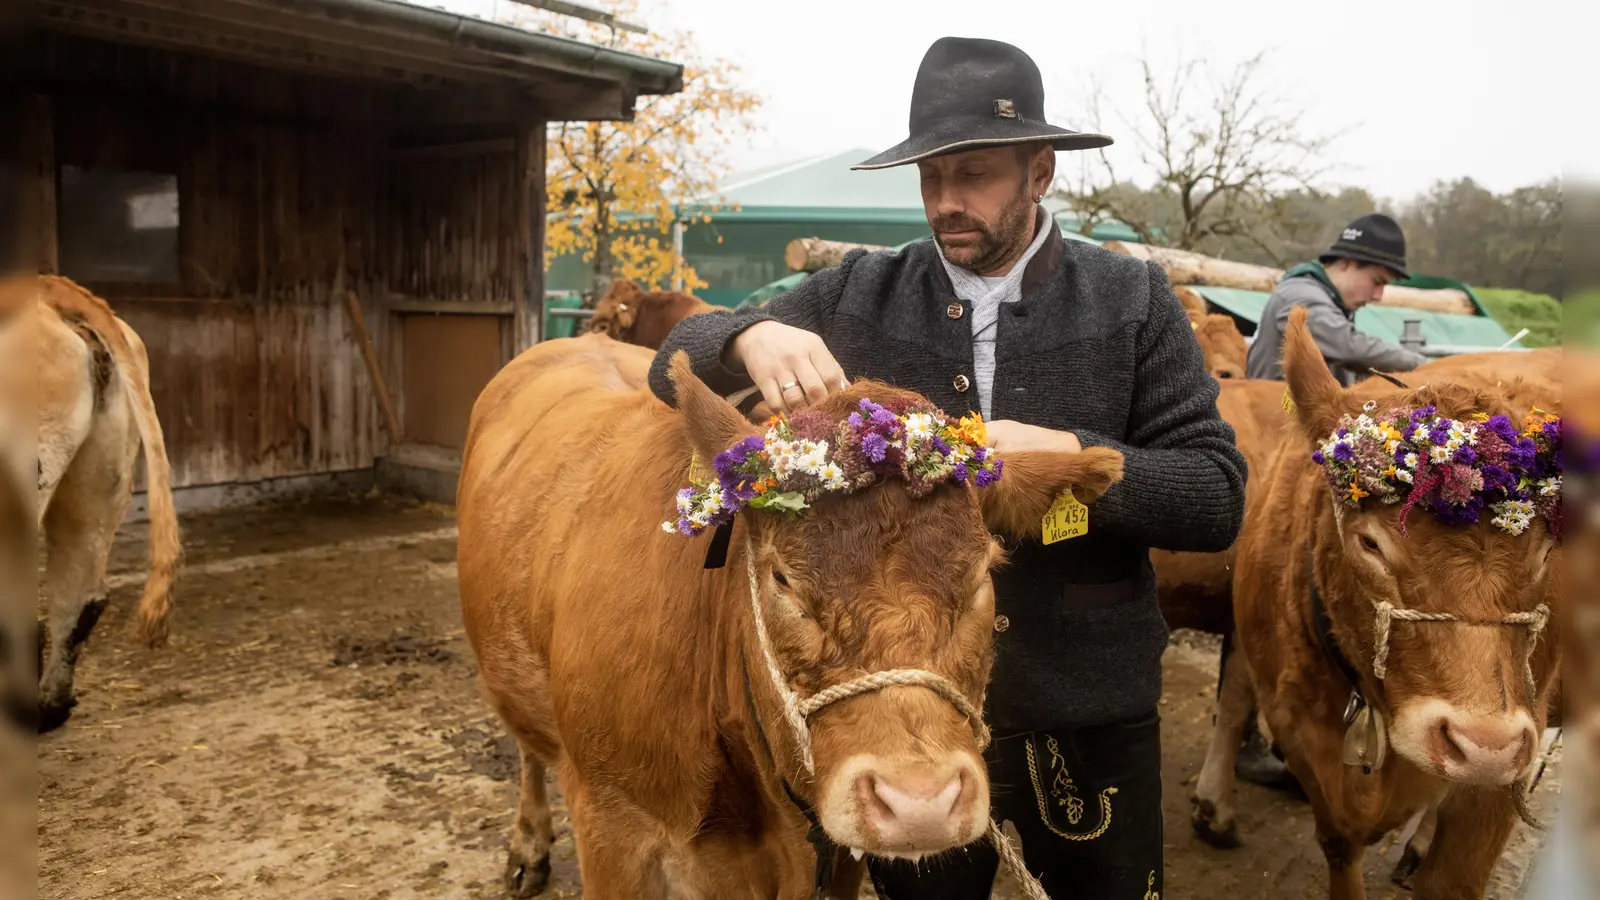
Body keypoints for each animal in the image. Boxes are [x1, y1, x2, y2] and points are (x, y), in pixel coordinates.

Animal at [1190, 307, 1561, 896]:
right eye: (1370, 542)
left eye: (1548, 549)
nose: (1485, 745)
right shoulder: (1296, 724)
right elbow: (1339, 844)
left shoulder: (1511, 764)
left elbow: (1451, 881)